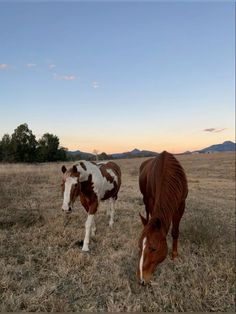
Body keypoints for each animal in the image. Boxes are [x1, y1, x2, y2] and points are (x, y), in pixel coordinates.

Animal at [136, 151, 188, 286]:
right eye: (139, 247)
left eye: (154, 248)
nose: (141, 280)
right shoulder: (152, 201)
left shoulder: (181, 204)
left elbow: (175, 232)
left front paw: (174, 256)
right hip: (145, 199)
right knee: (147, 213)